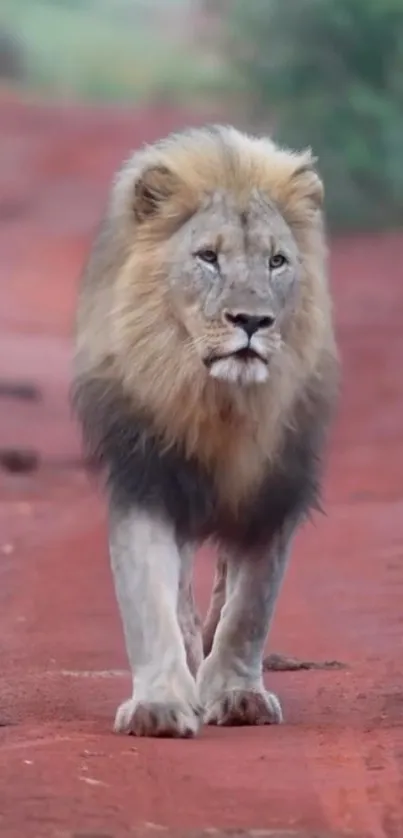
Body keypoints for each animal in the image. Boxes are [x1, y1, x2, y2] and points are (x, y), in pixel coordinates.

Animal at [72, 124, 338, 740]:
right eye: (208, 258)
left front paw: (238, 693)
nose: (252, 322)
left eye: (277, 261)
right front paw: (160, 704)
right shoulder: (145, 477)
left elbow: (250, 607)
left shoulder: (274, 491)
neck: (221, 403)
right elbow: (149, 600)